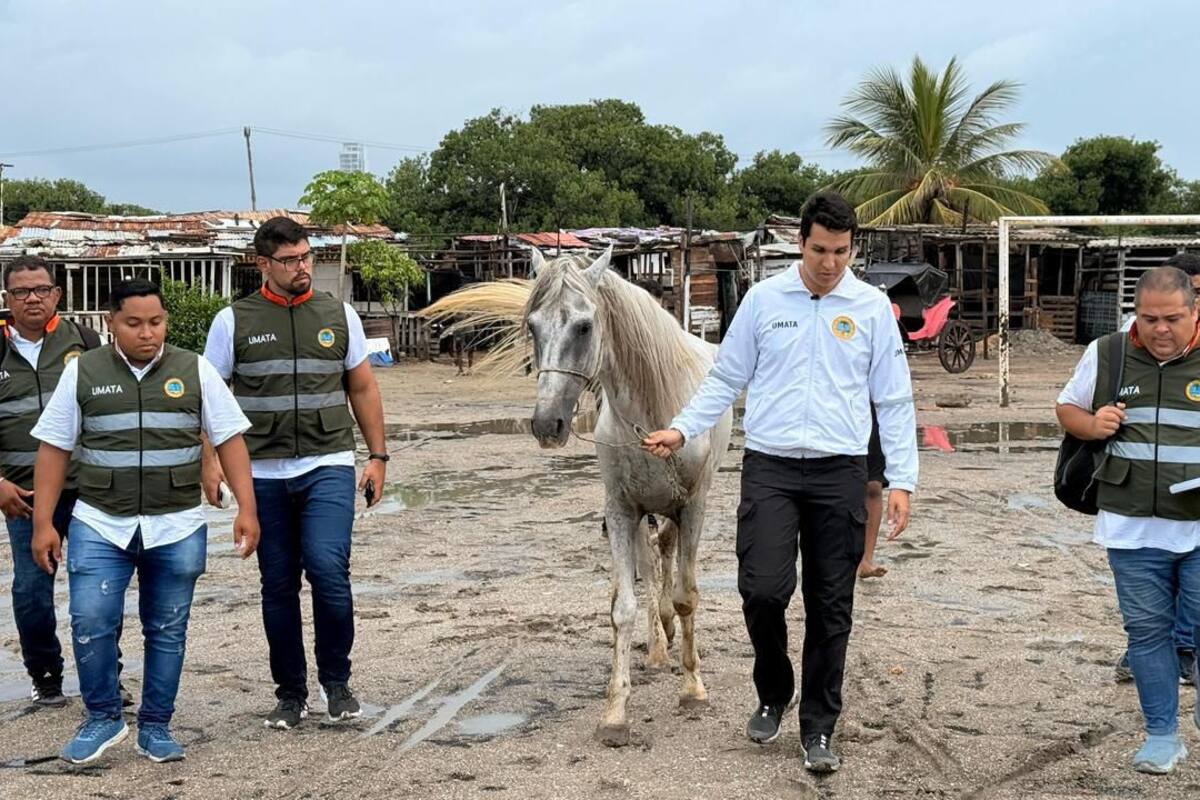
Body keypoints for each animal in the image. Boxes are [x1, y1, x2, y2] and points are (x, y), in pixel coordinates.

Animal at [425, 246, 733, 746]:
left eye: (585, 326)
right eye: (532, 326)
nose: (546, 424)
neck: (655, 410)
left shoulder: (693, 507)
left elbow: (687, 596)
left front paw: (693, 689)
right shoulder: (623, 510)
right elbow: (623, 607)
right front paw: (616, 712)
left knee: (667, 557)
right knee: (653, 563)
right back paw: (658, 644)